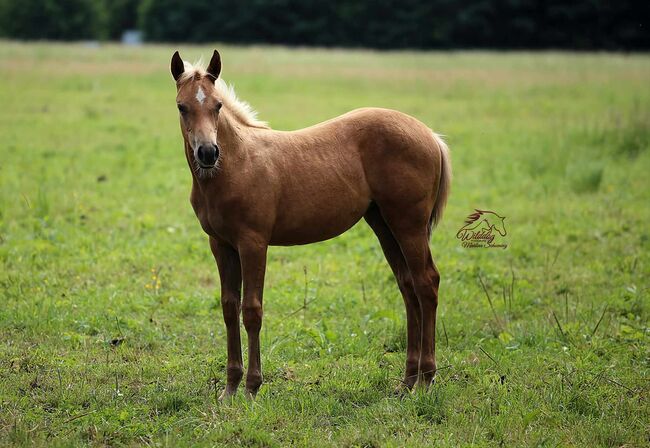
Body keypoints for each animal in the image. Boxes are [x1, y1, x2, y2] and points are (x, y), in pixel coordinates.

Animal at [170, 50, 448, 398]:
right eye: (182, 107)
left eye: (217, 105)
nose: (207, 153)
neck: (237, 165)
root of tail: (431, 136)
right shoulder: (220, 244)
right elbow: (229, 308)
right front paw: (230, 388)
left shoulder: (253, 243)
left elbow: (252, 310)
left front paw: (251, 387)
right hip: (384, 224)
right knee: (408, 286)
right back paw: (408, 379)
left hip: (409, 224)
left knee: (427, 283)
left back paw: (426, 377)